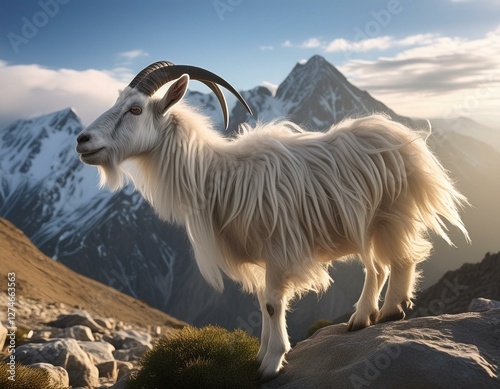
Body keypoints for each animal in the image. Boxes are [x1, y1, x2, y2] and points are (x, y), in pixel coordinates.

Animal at [75, 61, 468, 378]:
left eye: (135, 109)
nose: (82, 140)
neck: (214, 174)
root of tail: (408, 139)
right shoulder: (264, 257)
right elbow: (262, 304)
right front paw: (263, 355)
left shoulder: (280, 248)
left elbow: (271, 303)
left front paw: (271, 364)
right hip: (368, 225)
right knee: (380, 266)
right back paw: (361, 318)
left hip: (392, 216)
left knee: (402, 259)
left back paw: (389, 312)